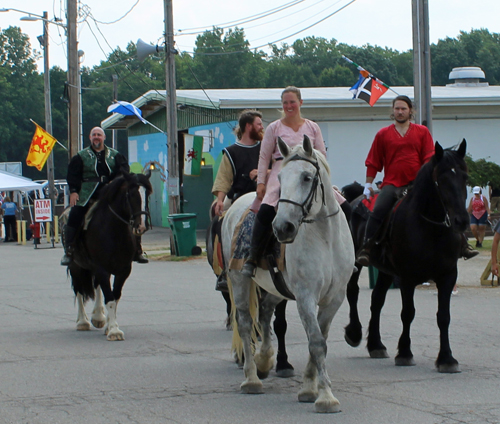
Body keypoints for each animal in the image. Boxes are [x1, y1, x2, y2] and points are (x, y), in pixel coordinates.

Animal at [68, 172, 152, 342]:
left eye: (147, 194)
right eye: (130, 194)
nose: (141, 227)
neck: (114, 232)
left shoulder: (123, 270)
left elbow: (115, 296)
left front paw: (109, 326)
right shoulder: (101, 269)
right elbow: (110, 298)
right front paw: (114, 330)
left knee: (96, 287)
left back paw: (98, 317)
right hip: (76, 266)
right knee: (79, 290)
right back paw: (83, 321)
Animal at [223, 137, 356, 414]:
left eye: (307, 177)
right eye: (280, 178)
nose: (282, 227)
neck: (325, 237)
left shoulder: (334, 298)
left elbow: (320, 339)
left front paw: (309, 387)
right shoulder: (306, 296)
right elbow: (316, 342)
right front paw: (325, 396)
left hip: (276, 288)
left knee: (264, 313)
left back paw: (264, 360)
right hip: (239, 280)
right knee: (245, 323)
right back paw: (251, 378)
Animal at [344, 140, 468, 372]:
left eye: (465, 177)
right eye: (442, 179)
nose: (462, 221)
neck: (430, 228)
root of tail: (354, 199)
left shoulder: (448, 276)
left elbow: (443, 317)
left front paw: (446, 358)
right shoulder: (407, 278)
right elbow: (408, 313)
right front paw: (404, 352)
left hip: (384, 271)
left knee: (377, 300)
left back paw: (376, 345)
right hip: (356, 262)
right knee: (353, 291)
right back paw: (354, 333)